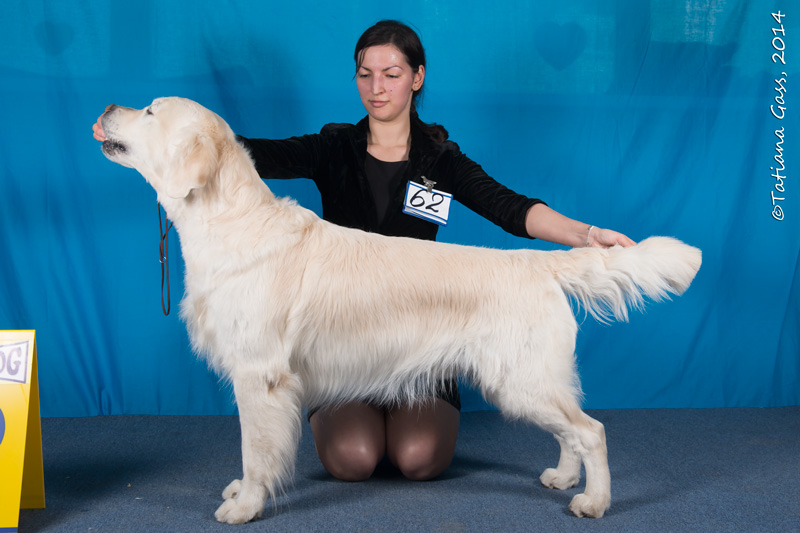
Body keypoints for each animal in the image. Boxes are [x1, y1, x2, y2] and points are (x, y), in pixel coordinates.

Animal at [99, 97, 701, 524]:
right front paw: (242, 493)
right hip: (534, 378)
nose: (106, 109)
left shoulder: (259, 376)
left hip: (522, 379)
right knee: (570, 431)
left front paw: (245, 504)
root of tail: (537, 263)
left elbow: (255, 450)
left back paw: (593, 502)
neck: (228, 221)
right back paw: (562, 476)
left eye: (150, 110)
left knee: (591, 430)